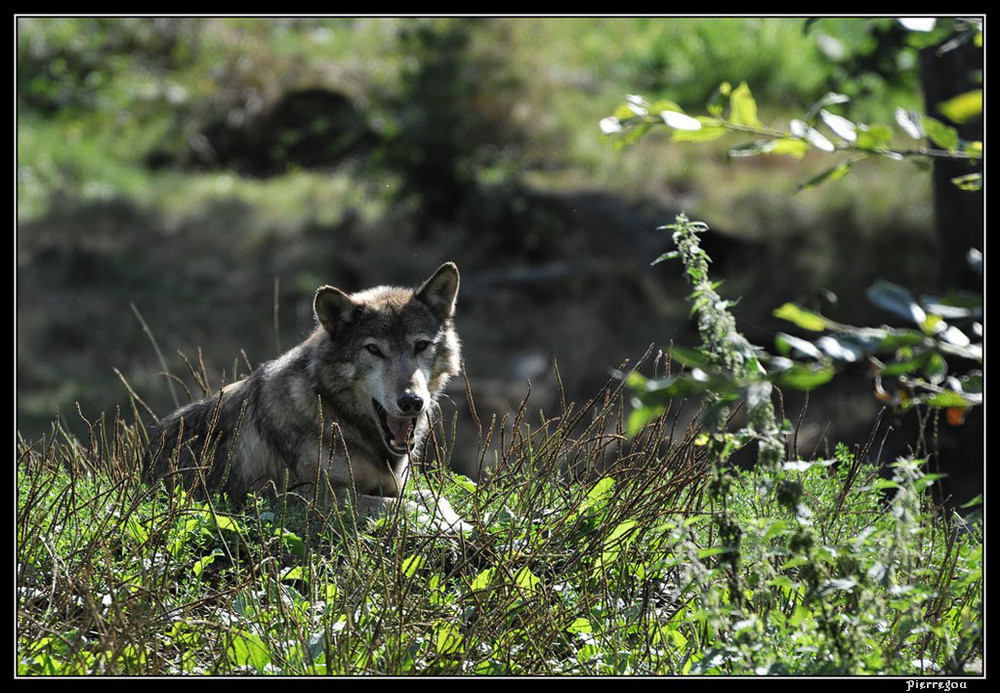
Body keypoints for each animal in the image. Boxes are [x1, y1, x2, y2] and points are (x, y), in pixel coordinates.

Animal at [144, 262, 468, 528]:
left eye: (421, 346)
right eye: (374, 350)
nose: (412, 402)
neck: (336, 413)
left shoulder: (395, 486)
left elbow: (434, 498)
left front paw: (457, 522)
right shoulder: (313, 501)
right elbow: (405, 508)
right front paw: (448, 526)